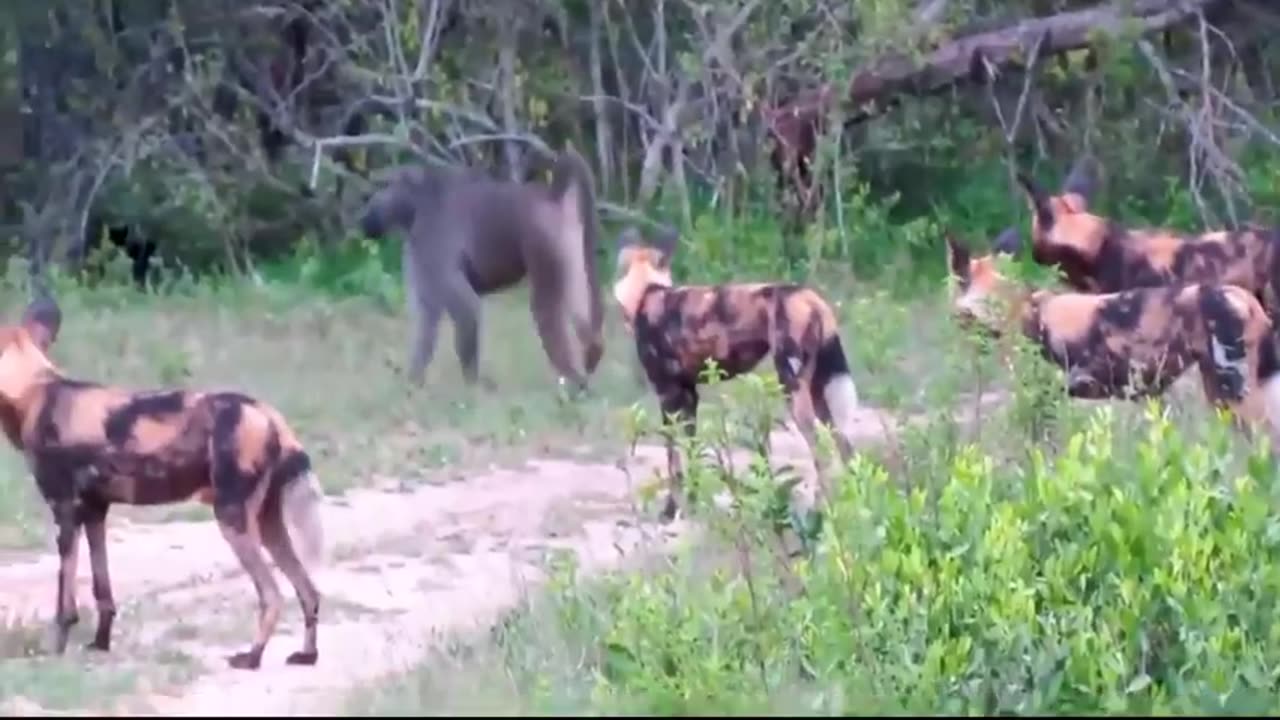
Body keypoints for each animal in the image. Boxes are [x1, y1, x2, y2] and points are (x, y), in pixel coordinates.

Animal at [0, 299, 325, 671]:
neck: (31, 390)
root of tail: (267, 413)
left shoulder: (65, 512)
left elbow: (64, 603)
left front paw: (55, 651)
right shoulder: (95, 512)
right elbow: (103, 591)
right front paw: (100, 643)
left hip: (233, 520)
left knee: (272, 594)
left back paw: (252, 656)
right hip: (268, 525)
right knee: (308, 590)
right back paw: (307, 654)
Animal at [355, 142, 604, 389]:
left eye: (383, 187)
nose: (364, 219)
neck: (418, 202)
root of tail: (549, 198)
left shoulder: (430, 243)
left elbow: (466, 309)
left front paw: (471, 389)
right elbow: (428, 314)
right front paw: (412, 384)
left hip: (544, 246)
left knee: (545, 309)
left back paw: (575, 381)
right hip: (569, 244)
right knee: (579, 305)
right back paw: (592, 353)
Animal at [609, 224, 860, 515]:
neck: (647, 293)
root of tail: (811, 297)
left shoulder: (668, 397)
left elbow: (673, 460)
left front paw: (670, 510)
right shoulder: (689, 395)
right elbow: (692, 453)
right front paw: (693, 502)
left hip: (792, 389)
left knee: (822, 451)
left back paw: (820, 509)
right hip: (819, 394)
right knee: (845, 446)